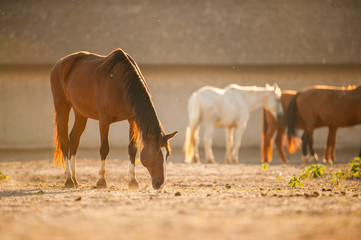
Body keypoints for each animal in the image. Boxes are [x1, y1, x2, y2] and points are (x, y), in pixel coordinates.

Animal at [50, 47, 177, 188]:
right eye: (155, 153)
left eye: (167, 154)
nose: (160, 183)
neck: (121, 83)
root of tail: (59, 64)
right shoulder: (104, 120)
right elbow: (104, 148)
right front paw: (101, 180)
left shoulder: (132, 119)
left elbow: (132, 148)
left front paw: (133, 180)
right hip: (62, 108)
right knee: (64, 142)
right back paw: (68, 179)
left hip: (80, 113)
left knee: (74, 140)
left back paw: (74, 178)